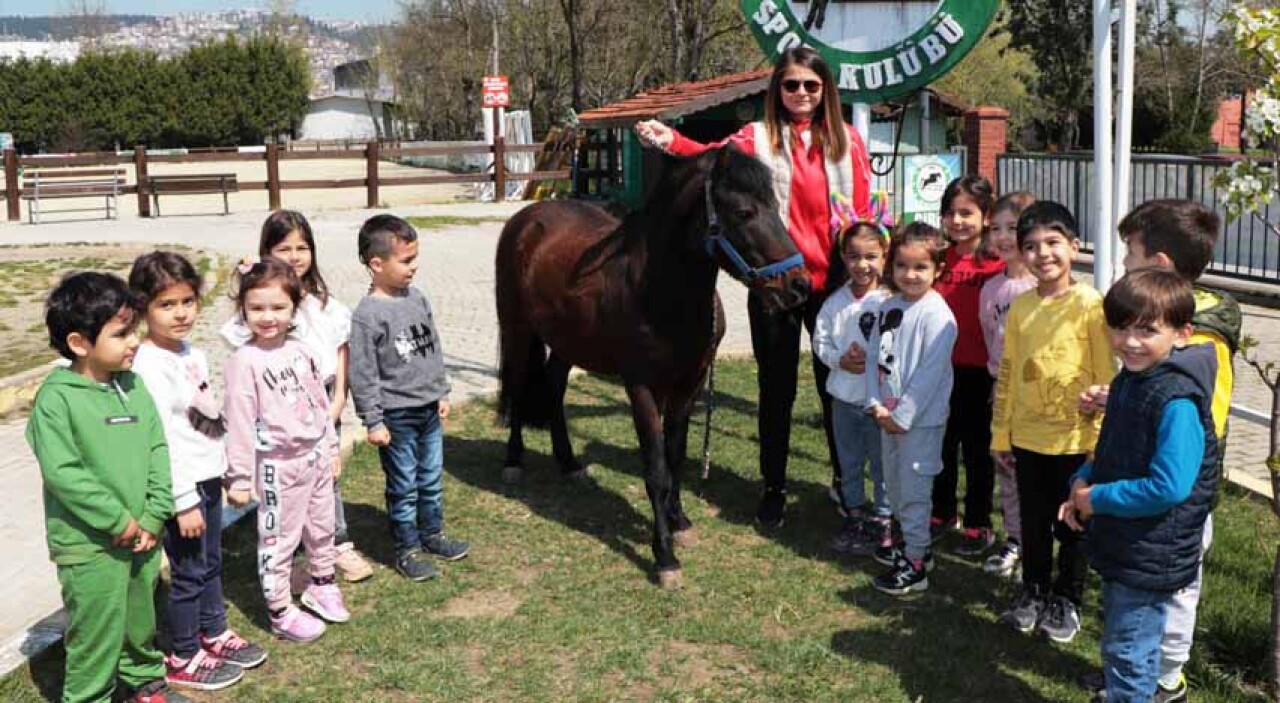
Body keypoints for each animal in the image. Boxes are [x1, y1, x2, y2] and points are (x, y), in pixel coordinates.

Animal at [491, 145, 803, 583]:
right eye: (743, 212)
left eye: (775, 206)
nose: (798, 285)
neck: (657, 291)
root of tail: (526, 219)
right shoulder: (640, 388)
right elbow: (655, 469)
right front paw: (664, 556)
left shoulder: (689, 384)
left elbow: (675, 459)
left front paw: (679, 522)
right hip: (517, 328)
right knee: (518, 385)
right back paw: (513, 461)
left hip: (568, 342)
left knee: (553, 387)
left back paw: (568, 462)